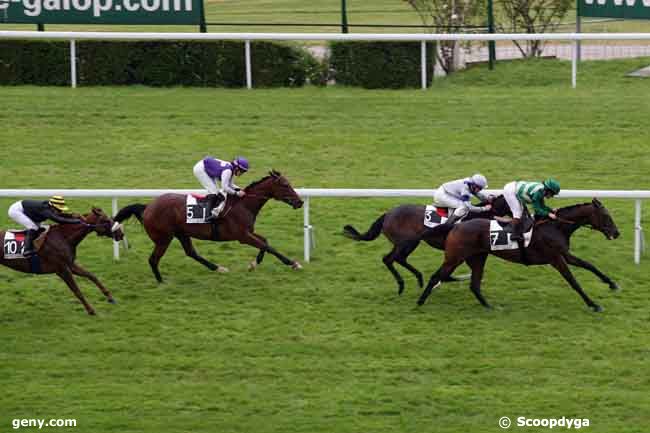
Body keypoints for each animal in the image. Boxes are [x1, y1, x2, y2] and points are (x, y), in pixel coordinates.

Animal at [113, 170, 302, 282]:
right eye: (285, 185)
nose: (300, 202)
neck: (243, 204)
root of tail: (147, 207)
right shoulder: (242, 236)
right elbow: (268, 246)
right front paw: (293, 263)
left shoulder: (248, 232)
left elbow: (265, 242)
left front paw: (254, 263)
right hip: (163, 239)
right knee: (153, 259)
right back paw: (161, 281)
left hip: (181, 233)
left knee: (191, 253)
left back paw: (218, 268)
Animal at [342, 196, 508, 294]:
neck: (476, 217)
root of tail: (387, 214)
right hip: (407, 242)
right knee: (390, 259)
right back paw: (403, 285)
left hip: (405, 243)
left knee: (396, 259)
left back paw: (418, 279)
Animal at [412, 199, 620, 310]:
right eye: (606, 216)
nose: (616, 233)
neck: (555, 227)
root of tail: (456, 225)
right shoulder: (555, 258)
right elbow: (573, 281)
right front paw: (593, 304)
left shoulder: (564, 255)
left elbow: (589, 265)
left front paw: (612, 284)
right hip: (455, 257)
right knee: (436, 276)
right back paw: (420, 302)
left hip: (478, 257)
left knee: (474, 284)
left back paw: (490, 307)